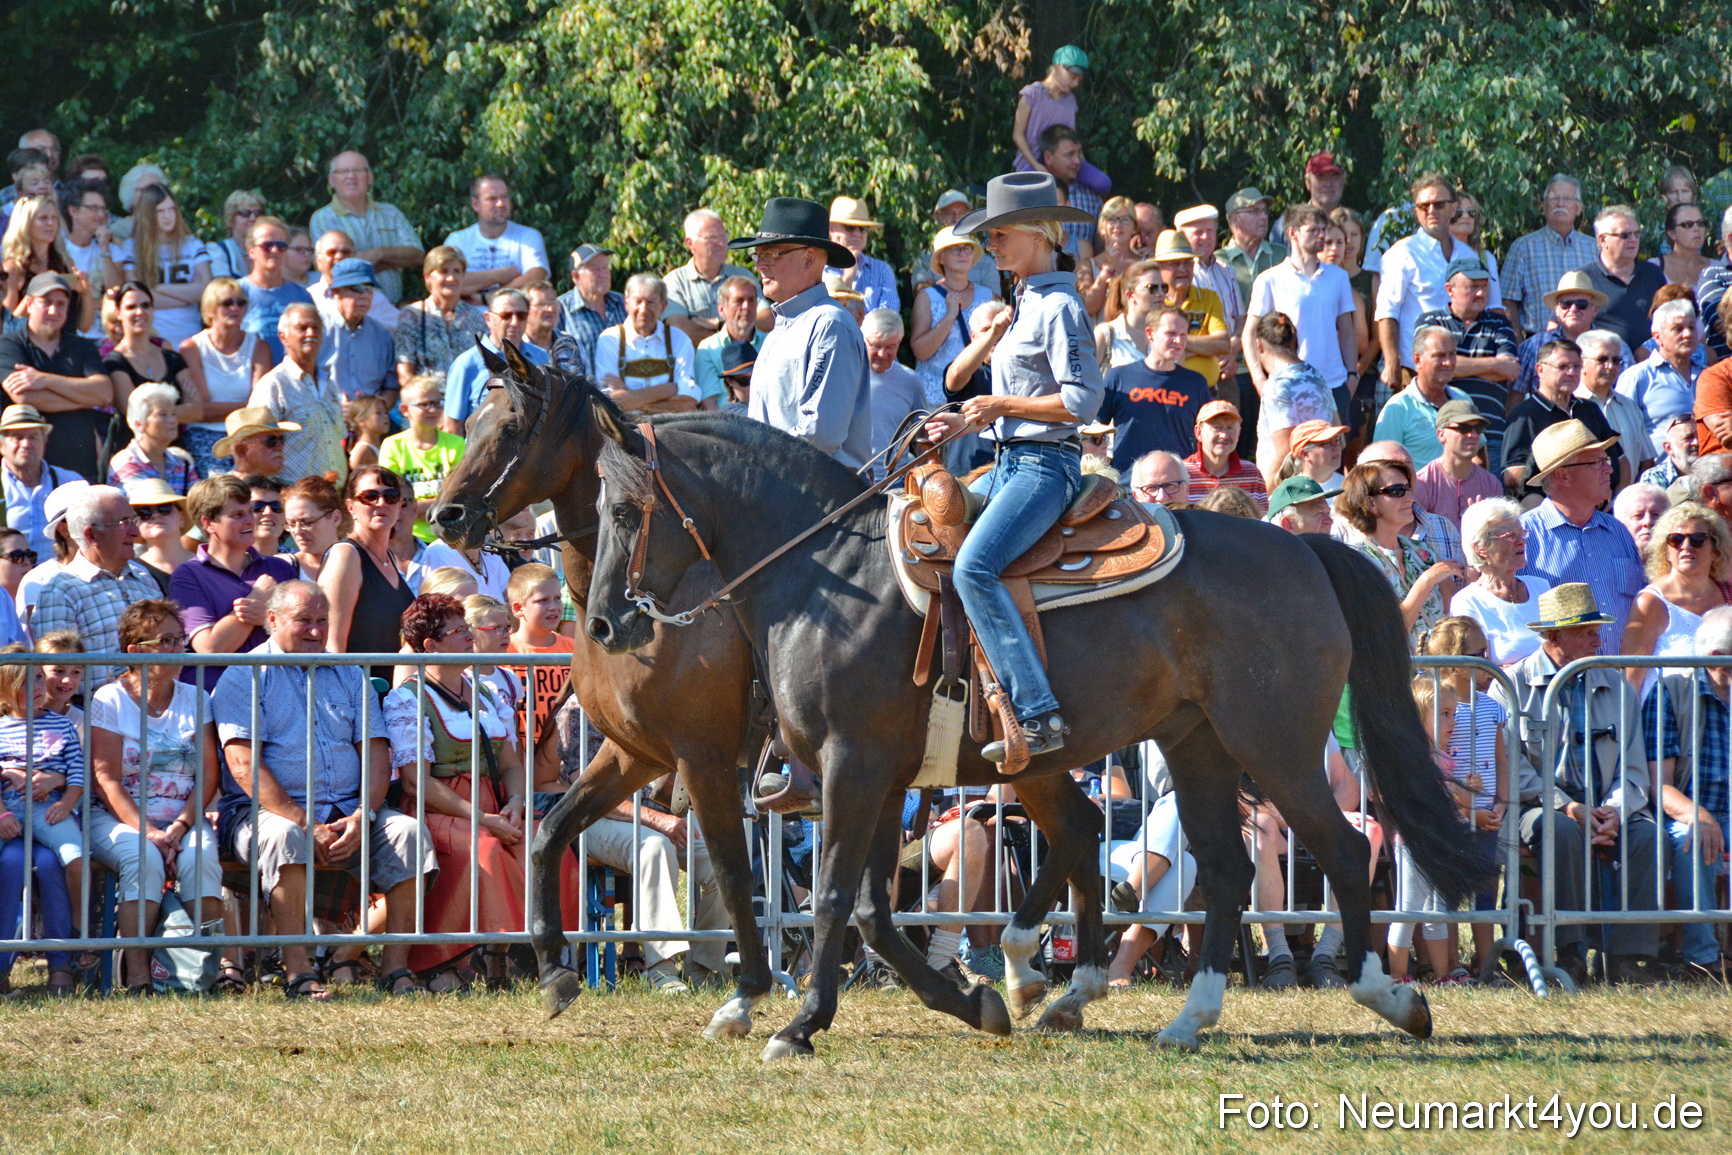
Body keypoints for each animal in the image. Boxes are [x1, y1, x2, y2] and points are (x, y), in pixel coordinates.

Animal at [428, 345, 1113, 1038]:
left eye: (509, 427)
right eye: (470, 422)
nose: (444, 515)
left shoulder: (700, 758)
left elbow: (736, 874)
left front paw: (748, 994)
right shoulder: (633, 754)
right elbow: (550, 833)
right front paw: (554, 971)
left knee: (1078, 828)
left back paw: (1043, 976)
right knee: (1082, 827)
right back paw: (1043, 980)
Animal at [582, 410, 1489, 1060]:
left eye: (627, 509)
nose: (600, 623)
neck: (830, 576)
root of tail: (1308, 555)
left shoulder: (855, 765)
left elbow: (841, 897)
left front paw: (798, 1023)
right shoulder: (881, 776)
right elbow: (876, 909)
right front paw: (975, 1001)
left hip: (1273, 744)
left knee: (1340, 848)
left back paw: (1390, 996)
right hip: (1195, 743)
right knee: (1220, 866)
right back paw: (1175, 1016)